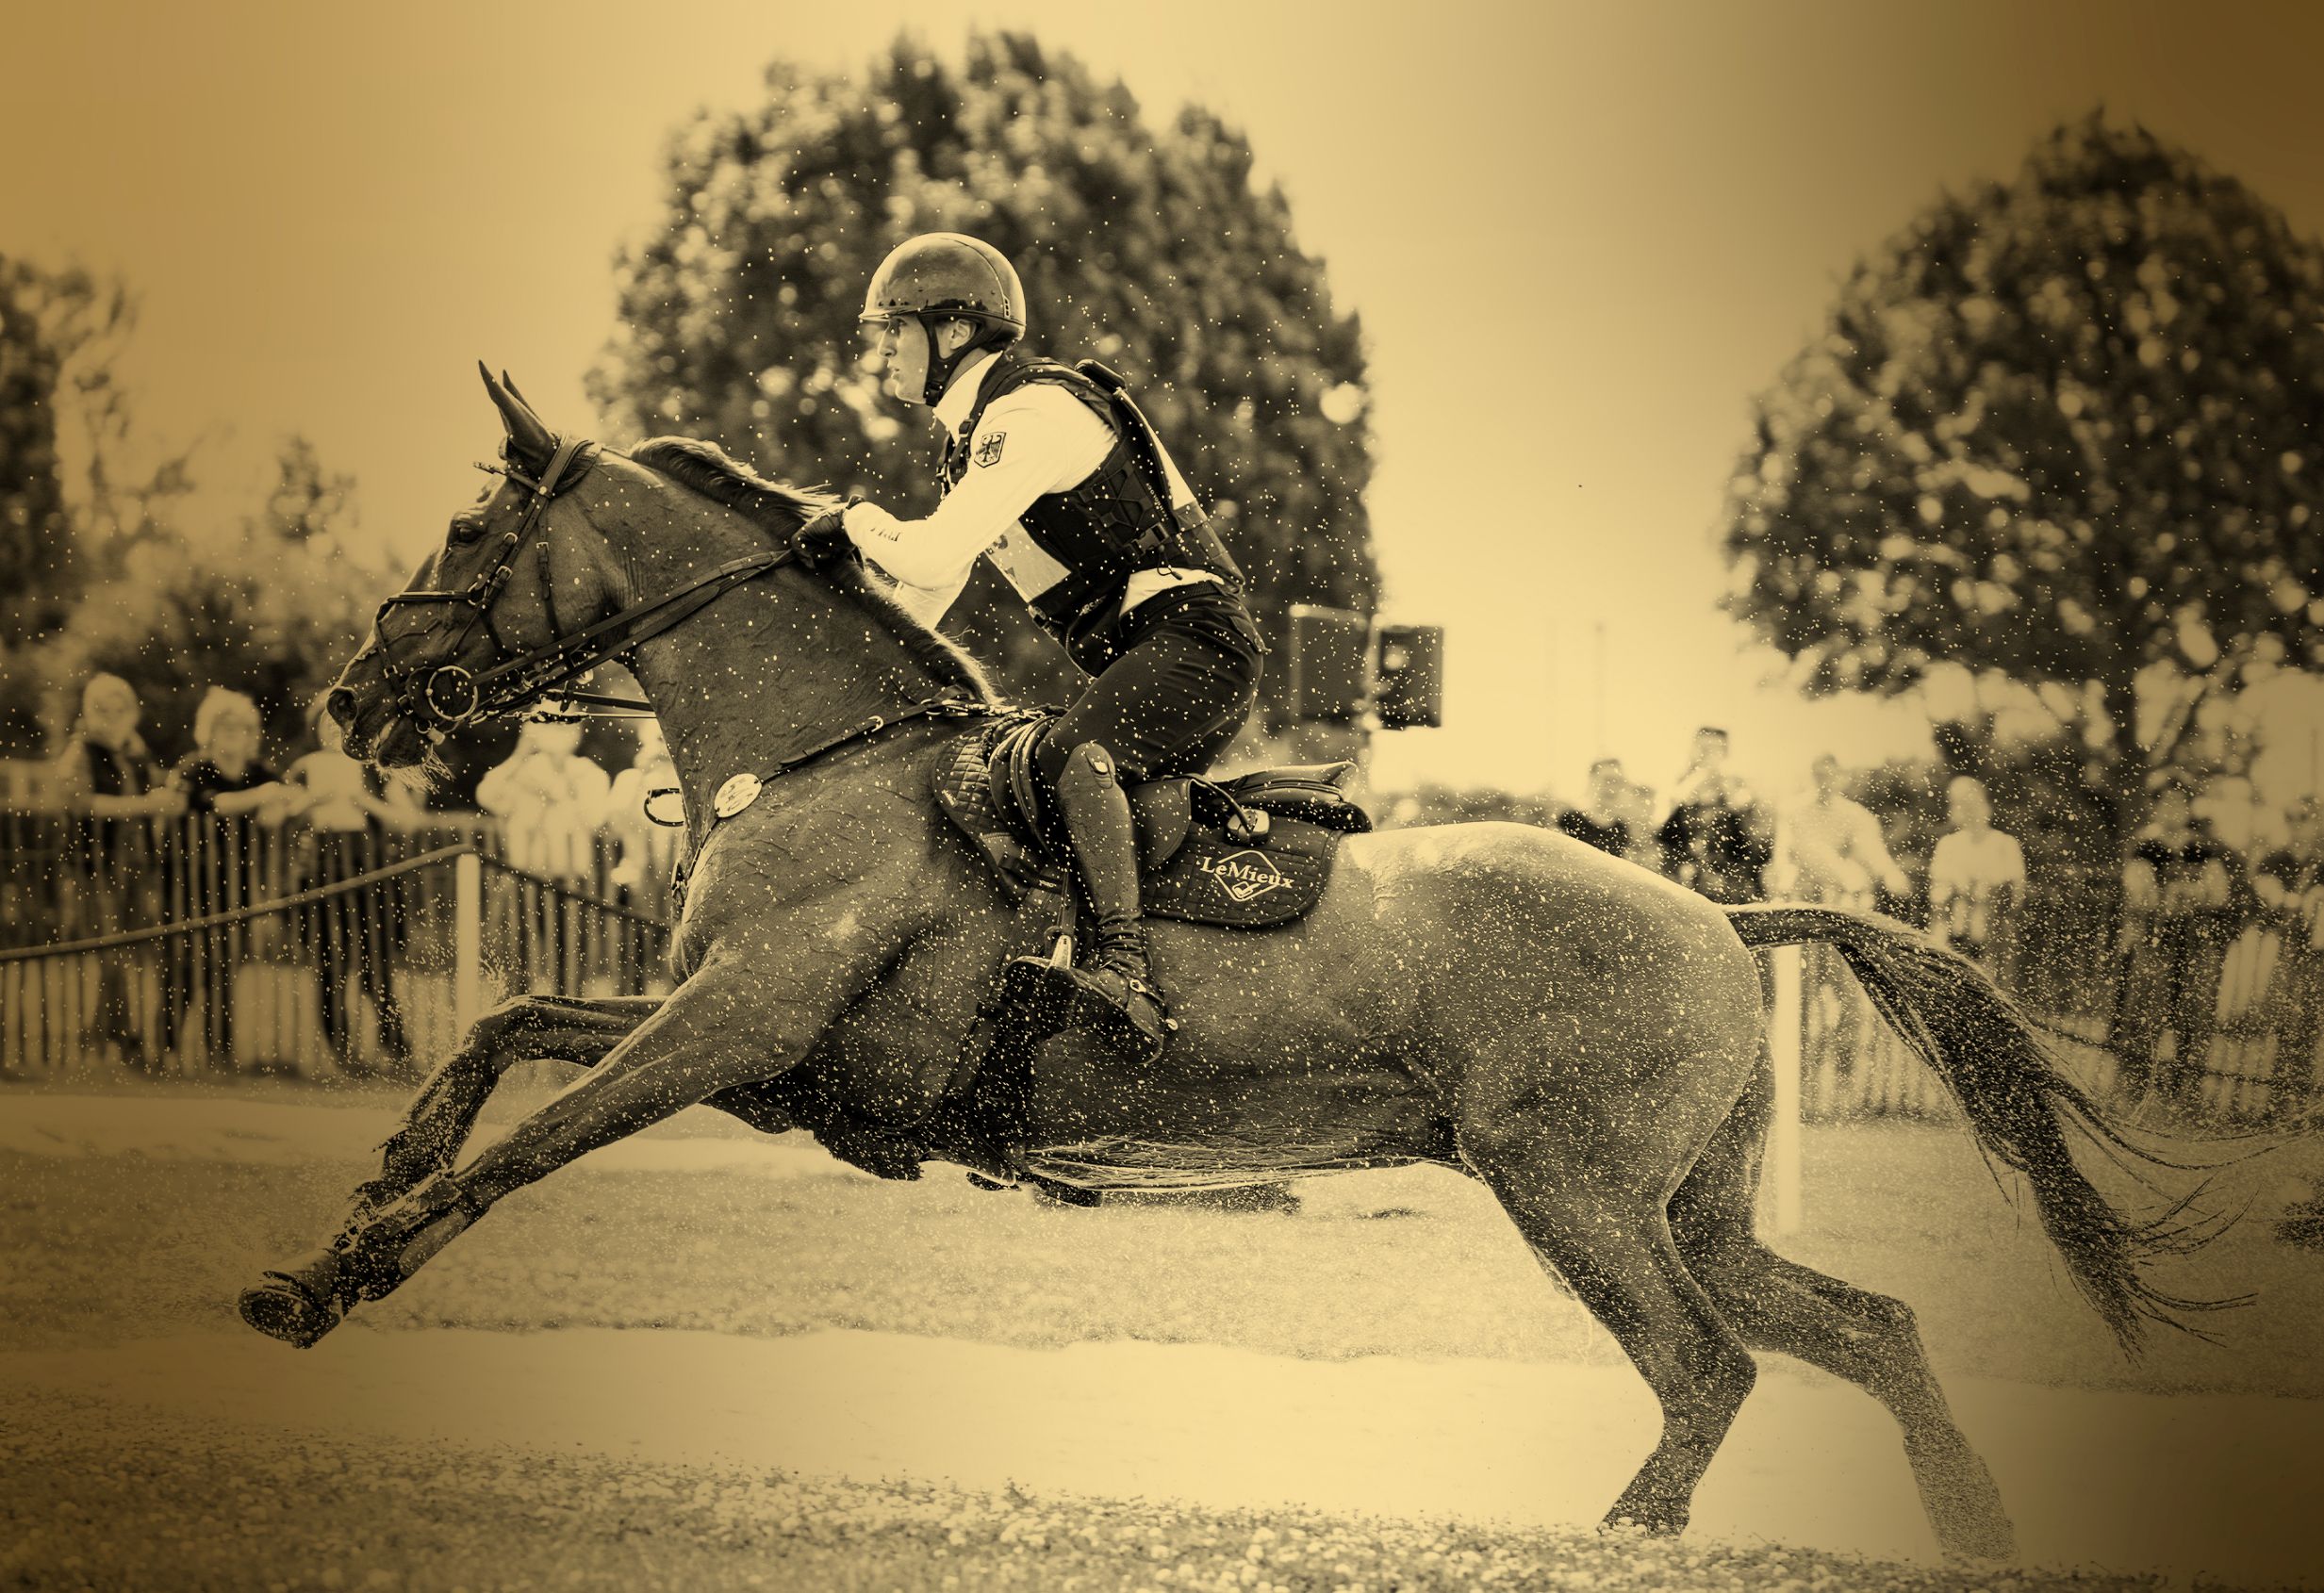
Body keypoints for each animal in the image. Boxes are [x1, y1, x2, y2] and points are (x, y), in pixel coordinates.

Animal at [241, 368, 2212, 1558]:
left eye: (474, 534)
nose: (351, 693)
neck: (830, 757)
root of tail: (1718, 913)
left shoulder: (731, 1027)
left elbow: (529, 1143)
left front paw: (325, 1286)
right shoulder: (756, 1054)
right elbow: (504, 1031)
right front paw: (367, 1186)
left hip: (1571, 1188)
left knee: (1707, 1370)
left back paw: (1625, 1539)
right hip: (1683, 1198)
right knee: (1862, 1331)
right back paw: (1974, 1529)